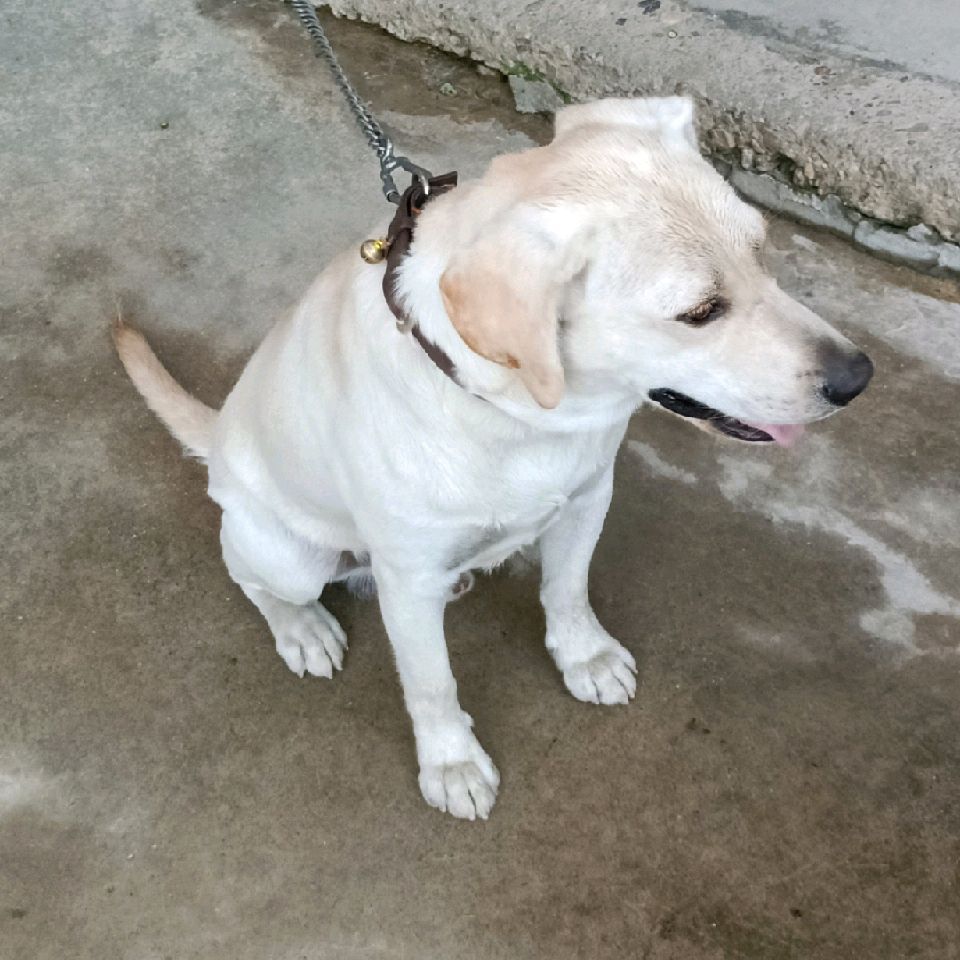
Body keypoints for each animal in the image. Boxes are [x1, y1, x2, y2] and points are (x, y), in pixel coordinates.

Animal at [115, 97, 873, 819]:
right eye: (700, 311)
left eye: (762, 251)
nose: (858, 378)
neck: (518, 413)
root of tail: (218, 435)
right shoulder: (410, 579)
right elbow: (432, 683)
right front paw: (450, 764)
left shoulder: (588, 498)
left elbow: (567, 590)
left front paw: (584, 656)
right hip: (290, 555)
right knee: (252, 579)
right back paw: (301, 629)